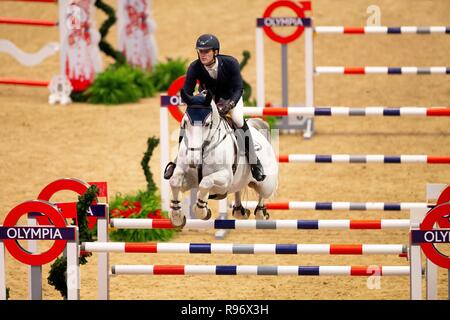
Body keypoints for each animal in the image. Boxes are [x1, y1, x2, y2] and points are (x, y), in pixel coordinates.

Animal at [169, 89, 278, 226]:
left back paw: (260, 212)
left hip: (266, 185)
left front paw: (202, 211)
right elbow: (174, 181)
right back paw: (240, 210)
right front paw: (177, 216)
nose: (193, 160)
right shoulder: (187, 178)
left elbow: (206, 182)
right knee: (238, 189)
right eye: (185, 123)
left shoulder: (225, 178)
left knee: (263, 195)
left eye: (207, 124)